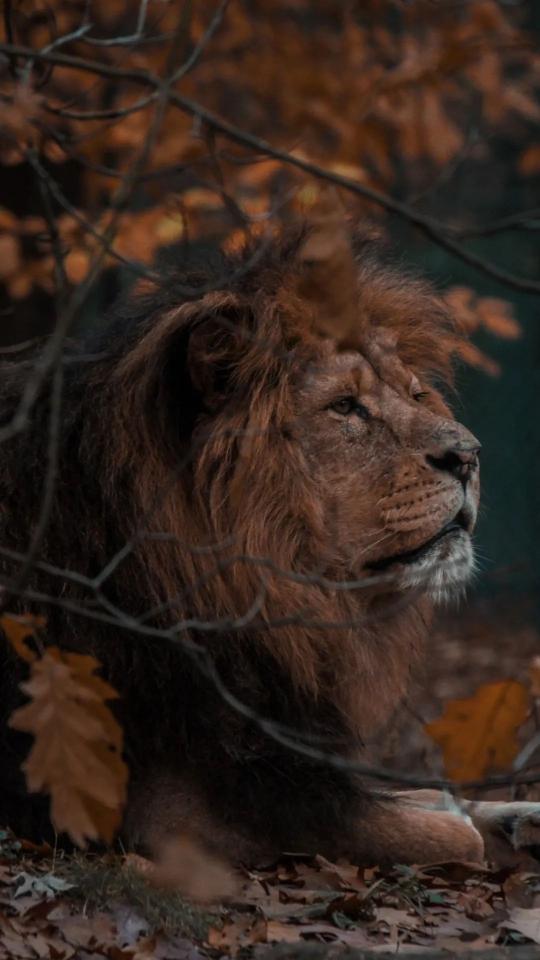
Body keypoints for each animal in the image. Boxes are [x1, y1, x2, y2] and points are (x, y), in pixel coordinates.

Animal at [0, 224, 539, 868]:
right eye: (345, 407)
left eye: (415, 395)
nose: (469, 455)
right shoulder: (180, 813)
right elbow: (442, 831)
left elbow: (428, 796)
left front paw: (518, 814)